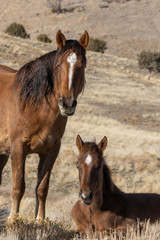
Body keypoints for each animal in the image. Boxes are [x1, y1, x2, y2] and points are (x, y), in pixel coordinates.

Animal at [0, 30, 89, 221]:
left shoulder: (51, 150)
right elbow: (18, 186)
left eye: (82, 66)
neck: (34, 104)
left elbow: (42, 188)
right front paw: (13, 219)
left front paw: (40, 220)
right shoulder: (18, 148)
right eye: (58, 65)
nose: (67, 104)